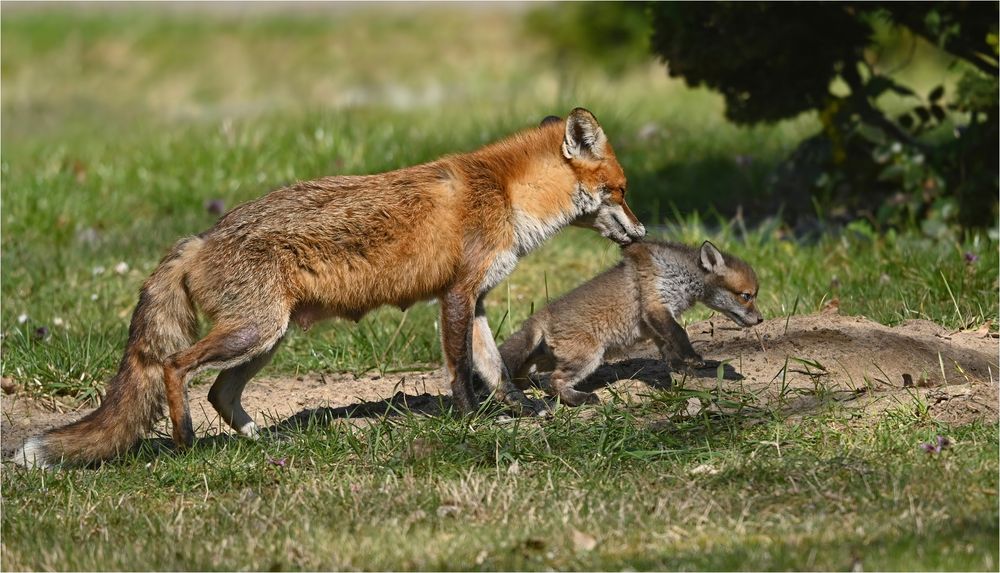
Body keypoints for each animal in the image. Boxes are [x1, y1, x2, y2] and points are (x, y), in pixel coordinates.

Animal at [15, 108, 644, 470]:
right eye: (620, 190)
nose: (641, 232)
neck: (508, 194)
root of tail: (199, 237)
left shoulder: (479, 299)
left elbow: (494, 368)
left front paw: (519, 409)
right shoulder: (456, 295)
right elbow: (462, 371)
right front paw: (470, 420)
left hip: (265, 339)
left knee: (220, 393)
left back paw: (261, 444)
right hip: (253, 331)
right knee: (175, 366)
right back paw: (184, 443)